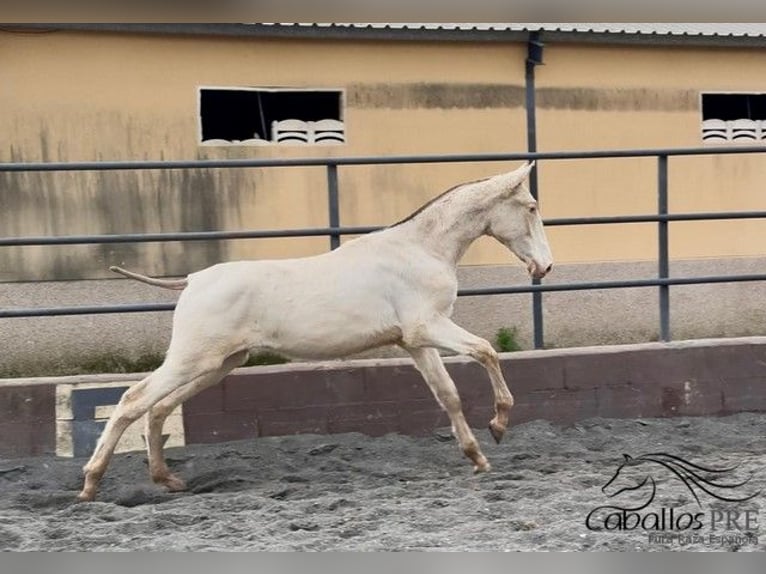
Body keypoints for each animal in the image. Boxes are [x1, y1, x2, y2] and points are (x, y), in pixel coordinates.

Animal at [77, 161, 553, 502]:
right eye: (531, 207)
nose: (545, 267)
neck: (421, 249)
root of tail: (191, 280)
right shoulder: (429, 327)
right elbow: (486, 351)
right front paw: (498, 425)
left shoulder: (415, 342)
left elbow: (448, 395)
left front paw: (477, 457)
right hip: (192, 360)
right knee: (132, 400)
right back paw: (90, 484)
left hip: (218, 365)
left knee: (158, 408)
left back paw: (168, 480)